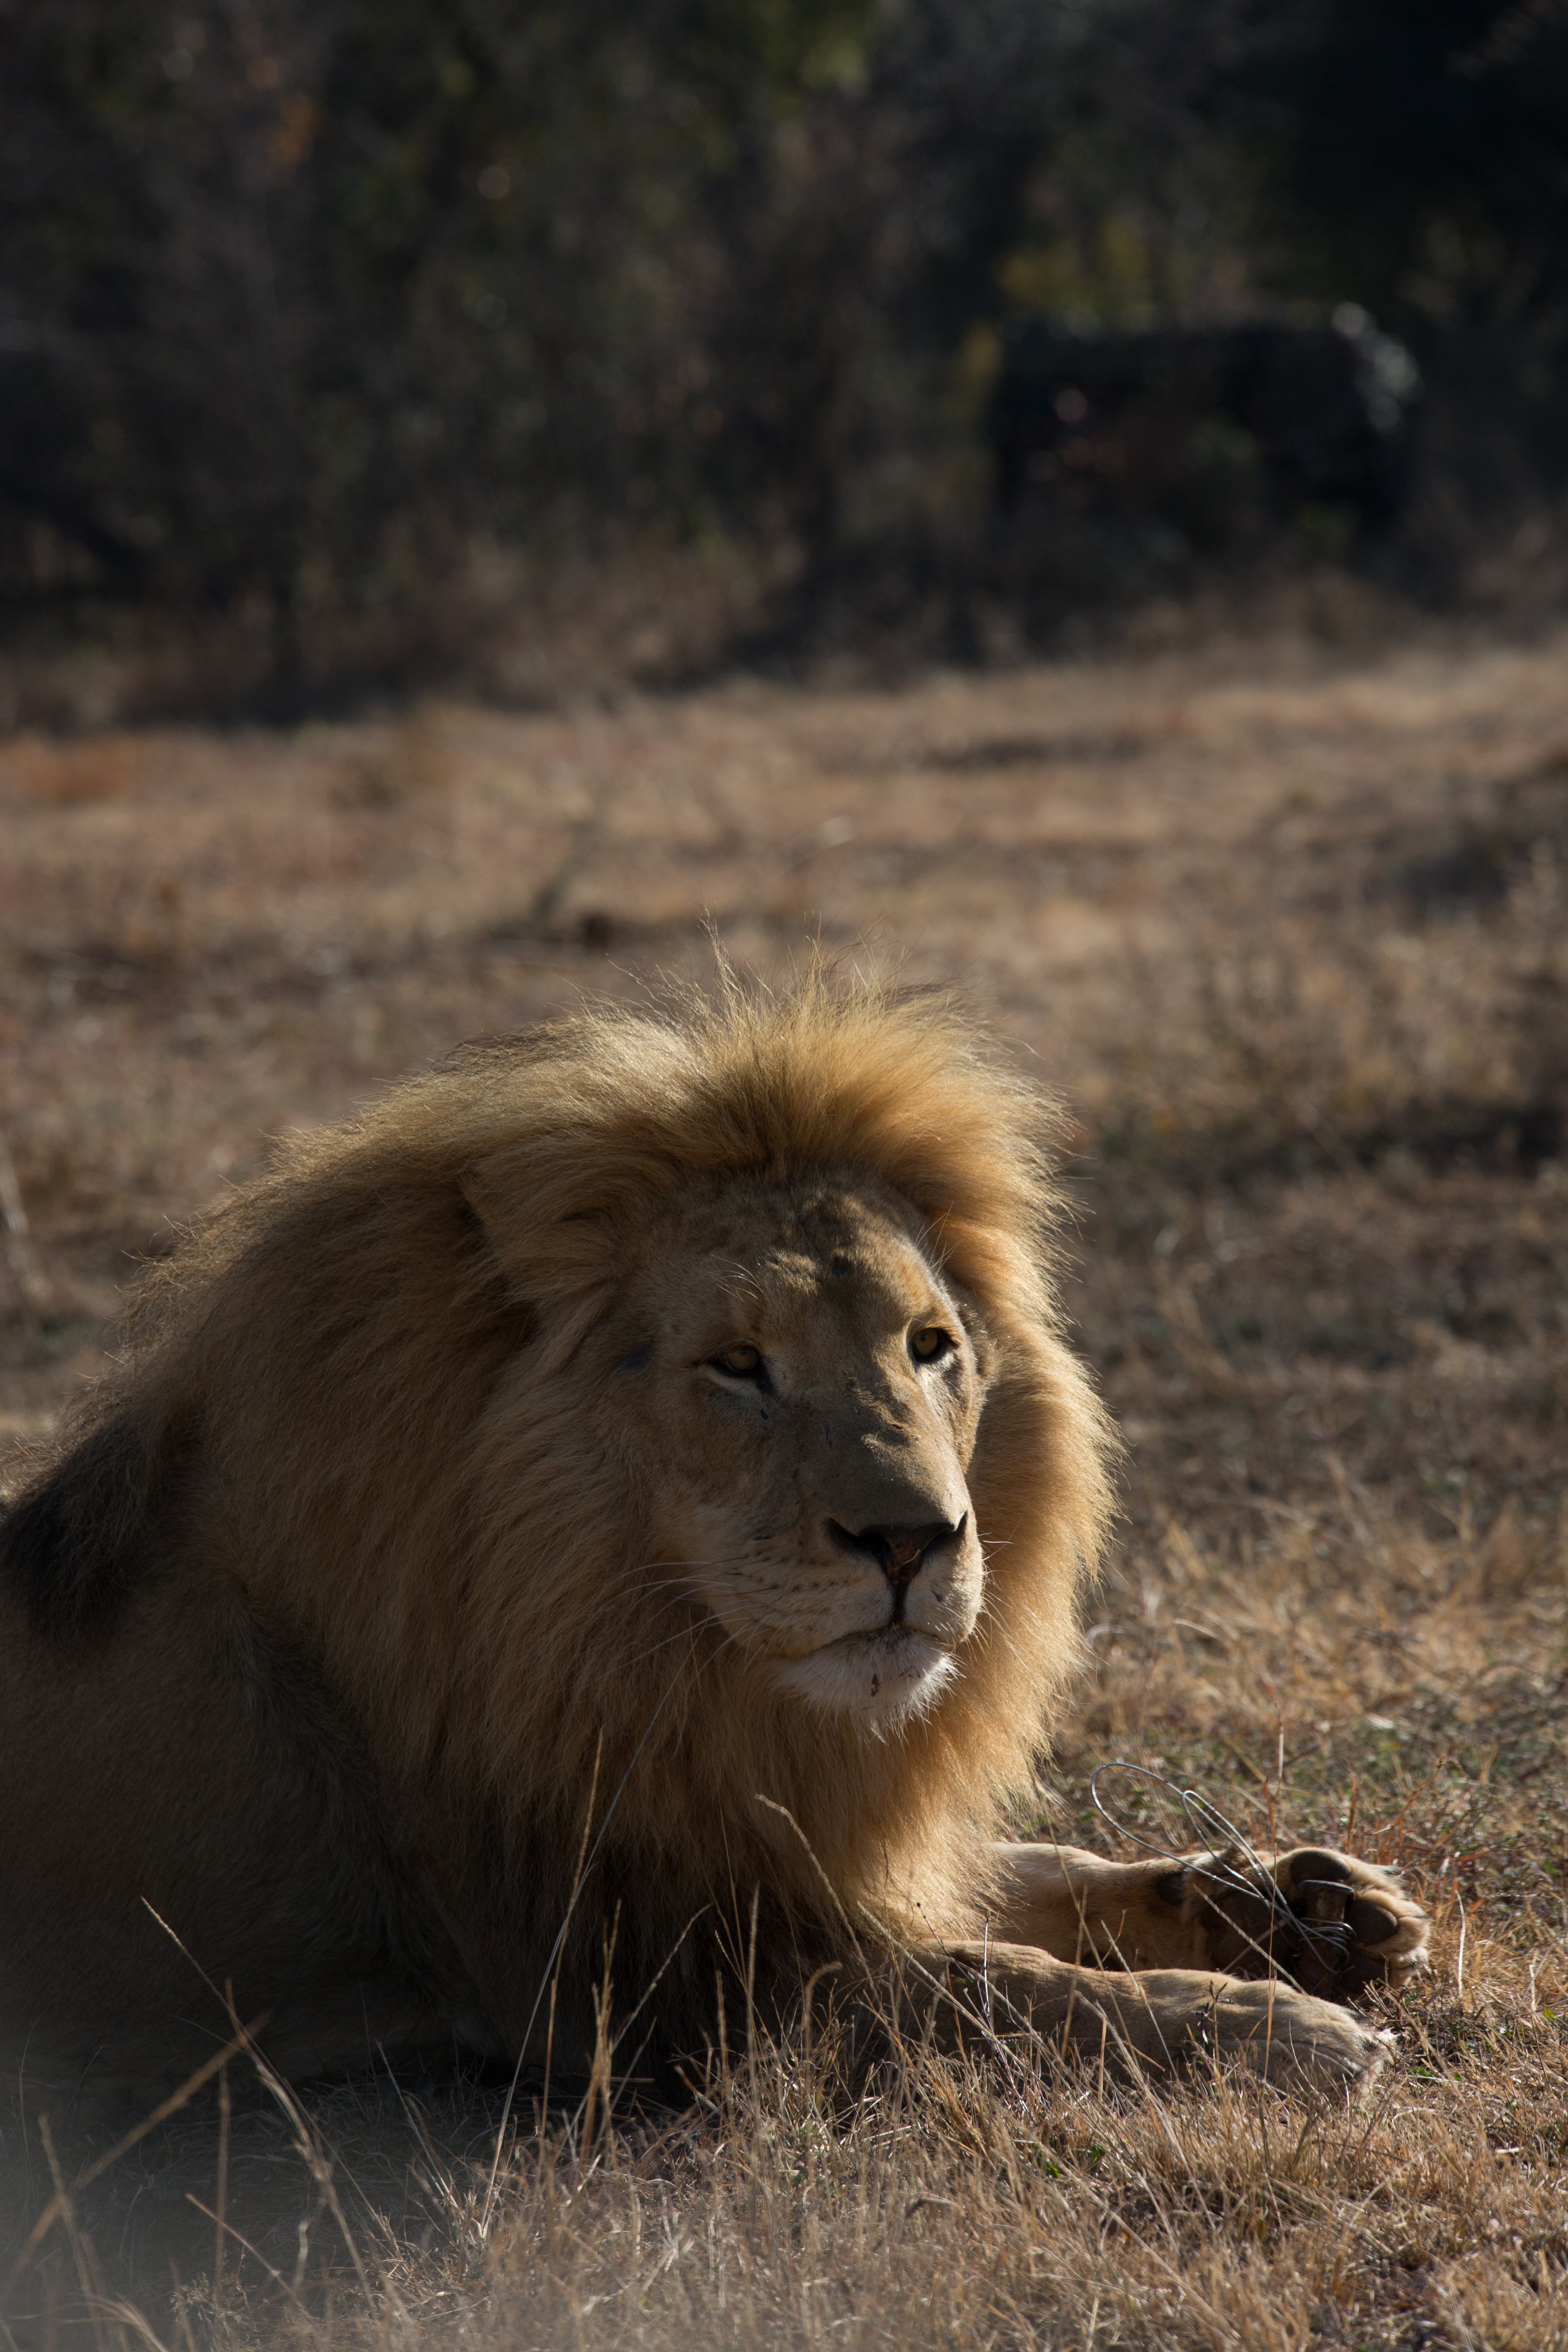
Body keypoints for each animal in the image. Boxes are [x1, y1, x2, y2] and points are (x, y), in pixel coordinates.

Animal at [0, 977, 1427, 2115]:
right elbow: (982, 1978)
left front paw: (1302, 1904)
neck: (658, 1661)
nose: (913, 1541)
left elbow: (1031, 1871)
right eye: (738, 1366)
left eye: (929, 1347)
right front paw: (1268, 2024)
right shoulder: (630, 1986)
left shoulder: (766, 1849)